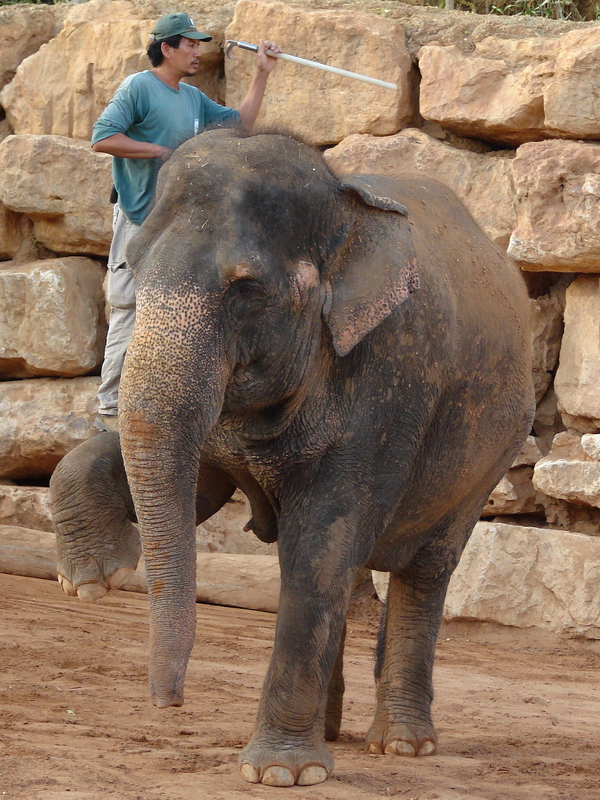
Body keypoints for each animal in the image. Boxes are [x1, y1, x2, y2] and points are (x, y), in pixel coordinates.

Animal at [50, 128, 534, 788]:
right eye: (133, 266)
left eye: (246, 287)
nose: (169, 703)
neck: (345, 202)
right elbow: (197, 487)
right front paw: (90, 581)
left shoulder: (393, 379)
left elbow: (324, 539)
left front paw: (280, 775)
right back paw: (334, 734)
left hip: (492, 456)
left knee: (425, 568)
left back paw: (402, 746)